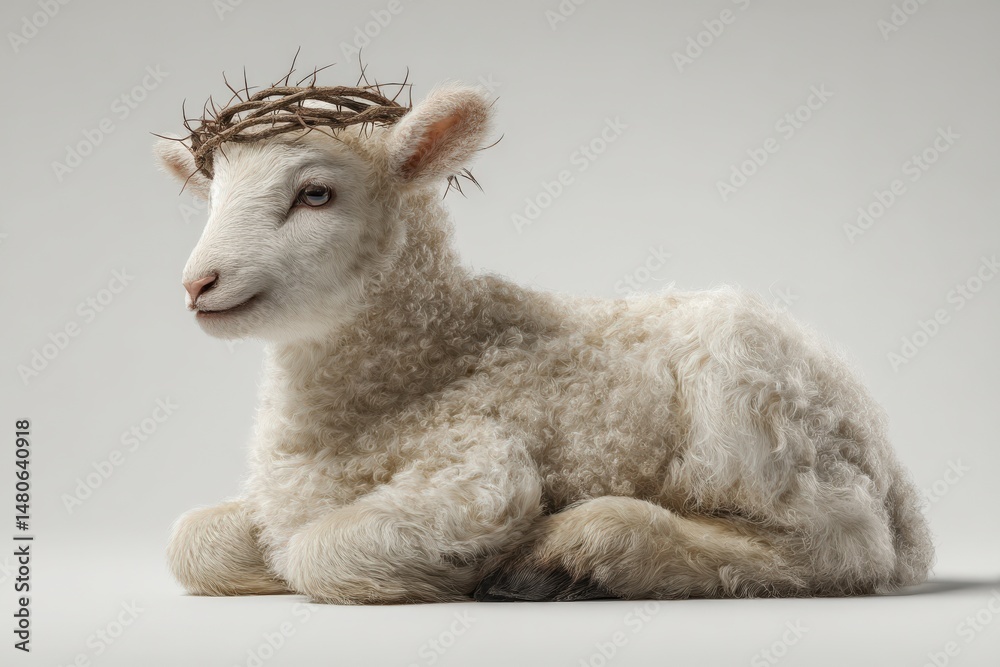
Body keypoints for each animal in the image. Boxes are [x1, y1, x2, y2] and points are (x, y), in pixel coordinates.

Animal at [155, 78, 934, 604]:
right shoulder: (280, 493)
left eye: (314, 194)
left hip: (751, 398)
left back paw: (575, 550)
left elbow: (320, 551)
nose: (197, 284)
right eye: (213, 194)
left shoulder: (480, 467)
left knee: (839, 546)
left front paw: (463, 569)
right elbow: (194, 541)